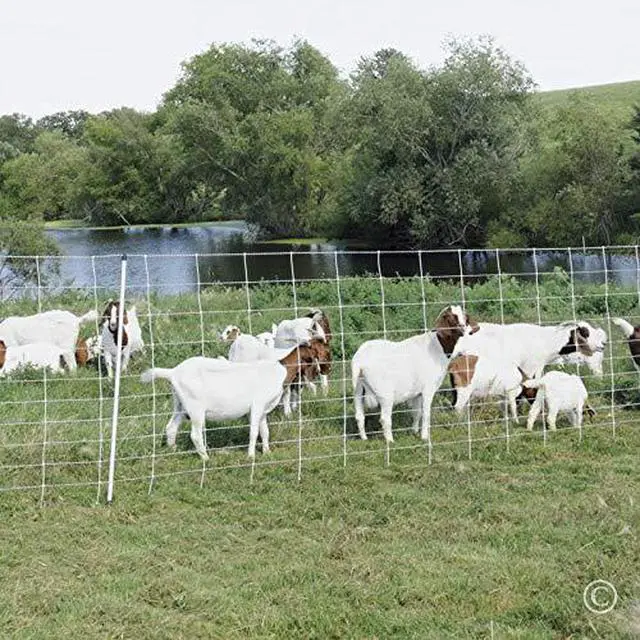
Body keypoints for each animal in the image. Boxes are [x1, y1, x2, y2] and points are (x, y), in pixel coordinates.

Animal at [140, 339, 329, 459]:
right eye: (319, 352)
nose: (325, 370)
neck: (280, 370)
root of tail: (173, 372)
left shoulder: (263, 411)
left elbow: (265, 431)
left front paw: (267, 452)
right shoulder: (257, 406)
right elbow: (254, 432)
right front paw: (251, 455)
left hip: (180, 405)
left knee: (171, 427)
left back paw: (173, 450)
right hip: (195, 409)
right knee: (195, 434)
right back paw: (206, 458)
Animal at [352, 305, 478, 443]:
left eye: (465, 316)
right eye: (452, 317)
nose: (465, 329)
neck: (437, 347)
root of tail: (360, 360)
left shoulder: (417, 393)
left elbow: (416, 412)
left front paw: (414, 432)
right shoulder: (428, 389)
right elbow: (426, 413)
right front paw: (424, 437)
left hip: (358, 389)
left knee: (359, 416)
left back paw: (364, 438)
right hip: (384, 393)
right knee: (384, 418)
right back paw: (390, 441)